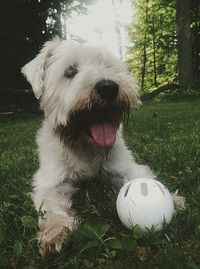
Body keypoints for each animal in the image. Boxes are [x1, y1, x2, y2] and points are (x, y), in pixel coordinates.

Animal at [22, 38, 184, 255]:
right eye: (70, 71)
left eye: (108, 66)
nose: (108, 86)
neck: (86, 148)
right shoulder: (50, 182)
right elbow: (51, 207)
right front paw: (54, 231)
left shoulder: (125, 166)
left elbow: (143, 176)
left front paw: (172, 199)